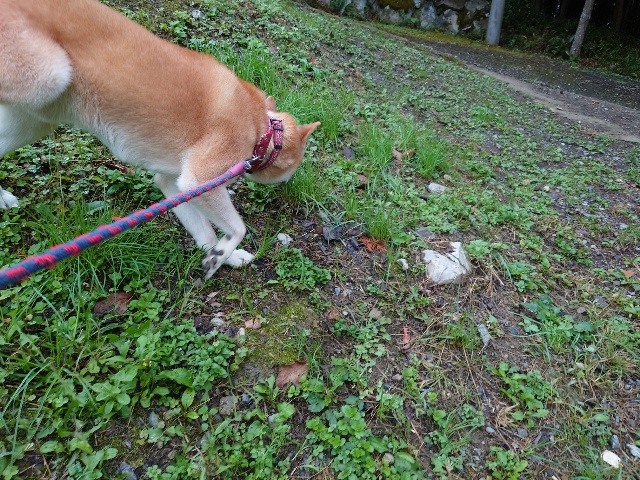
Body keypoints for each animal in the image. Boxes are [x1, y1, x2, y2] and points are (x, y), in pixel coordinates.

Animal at [0, 0, 319, 278]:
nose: (289, 182)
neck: (261, 130)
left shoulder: (174, 185)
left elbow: (204, 233)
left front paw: (221, 256)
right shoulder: (201, 177)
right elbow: (237, 228)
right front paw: (223, 252)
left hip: (34, 121)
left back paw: (2, 198)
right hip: (47, 77)